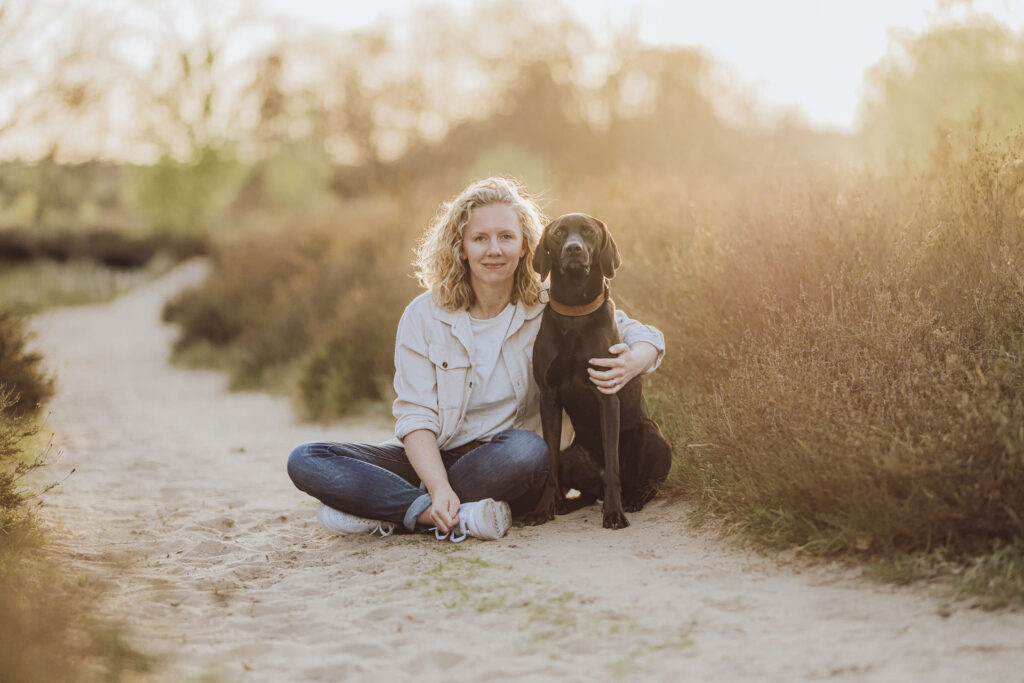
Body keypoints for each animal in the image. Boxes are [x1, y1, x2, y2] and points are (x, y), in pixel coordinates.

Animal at [528, 214, 671, 528]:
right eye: (559, 233)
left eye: (589, 232)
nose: (574, 249)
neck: (575, 312)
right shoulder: (549, 397)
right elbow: (550, 465)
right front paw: (543, 508)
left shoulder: (607, 394)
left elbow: (613, 466)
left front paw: (614, 513)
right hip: (571, 456)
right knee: (587, 492)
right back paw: (567, 504)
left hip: (653, 436)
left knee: (649, 484)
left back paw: (632, 500)